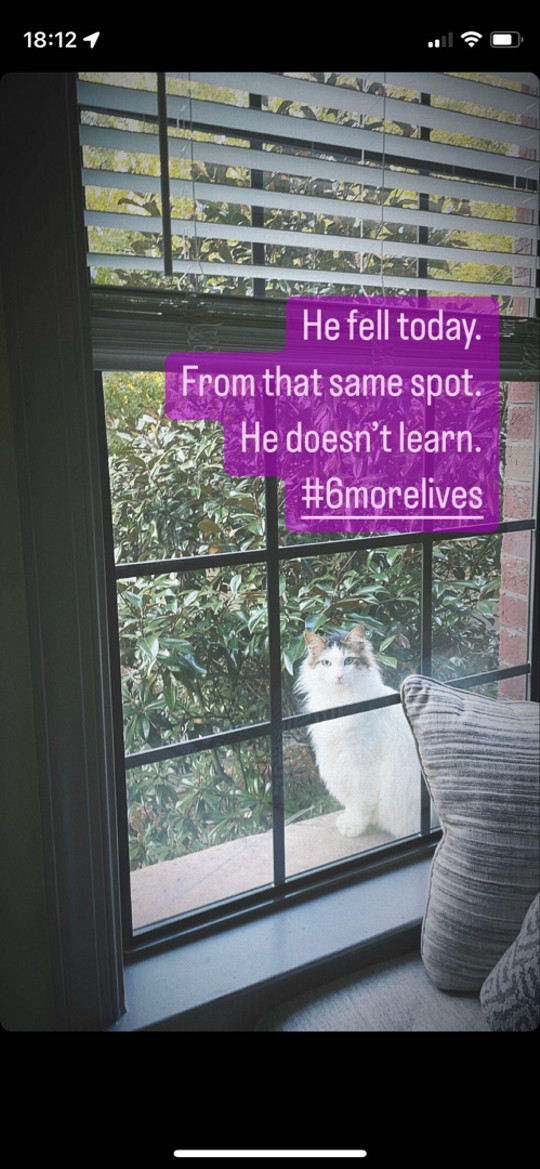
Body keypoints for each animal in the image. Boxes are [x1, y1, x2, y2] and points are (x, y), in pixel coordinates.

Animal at [295, 625, 421, 839]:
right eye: (326, 663)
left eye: (348, 661)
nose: (338, 676)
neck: (340, 701)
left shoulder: (361, 764)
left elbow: (360, 801)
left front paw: (353, 826)